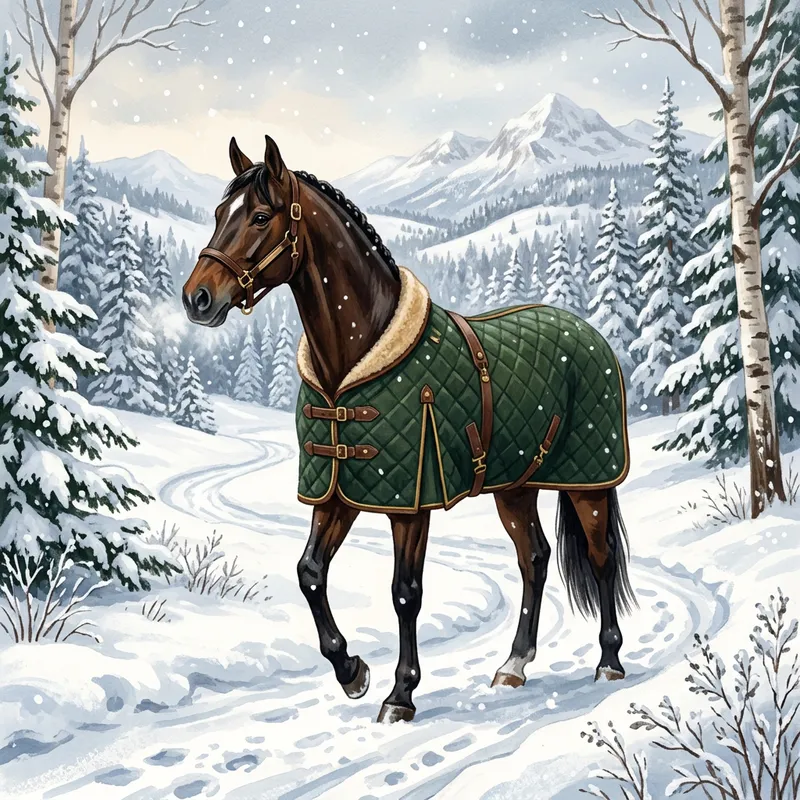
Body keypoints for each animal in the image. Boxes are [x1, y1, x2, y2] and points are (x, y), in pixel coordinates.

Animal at [182, 135, 635, 724]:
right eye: (219, 214)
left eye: (260, 216)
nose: (197, 298)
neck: (352, 365)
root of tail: (591, 333)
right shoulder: (338, 491)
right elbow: (310, 573)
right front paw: (352, 672)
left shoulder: (410, 501)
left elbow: (405, 592)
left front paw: (400, 695)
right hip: (515, 486)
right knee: (534, 559)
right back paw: (513, 665)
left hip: (589, 482)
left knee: (601, 560)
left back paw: (609, 662)